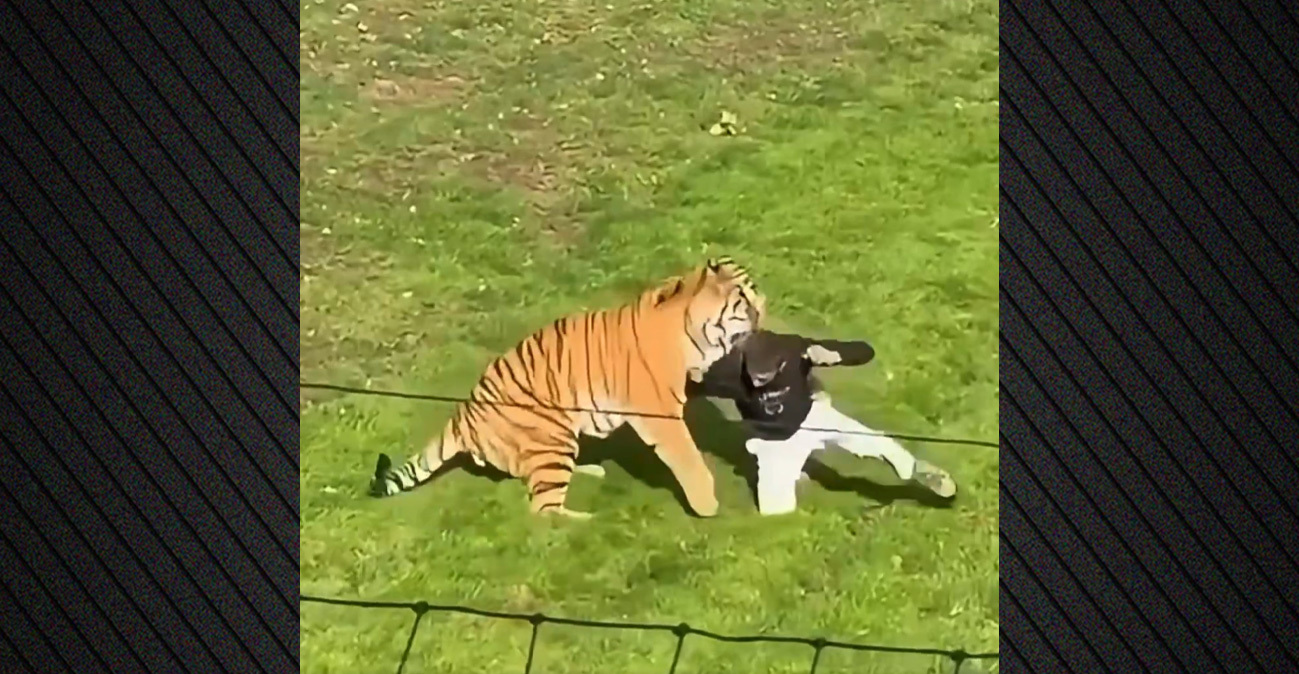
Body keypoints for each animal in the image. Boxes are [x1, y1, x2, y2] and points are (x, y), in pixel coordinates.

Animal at [368, 257, 766, 518]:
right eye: (745, 302)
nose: (764, 312)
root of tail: (463, 414)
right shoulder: (660, 413)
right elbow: (687, 457)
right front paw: (707, 504)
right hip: (551, 434)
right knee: (543, 511)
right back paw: (590, 521)